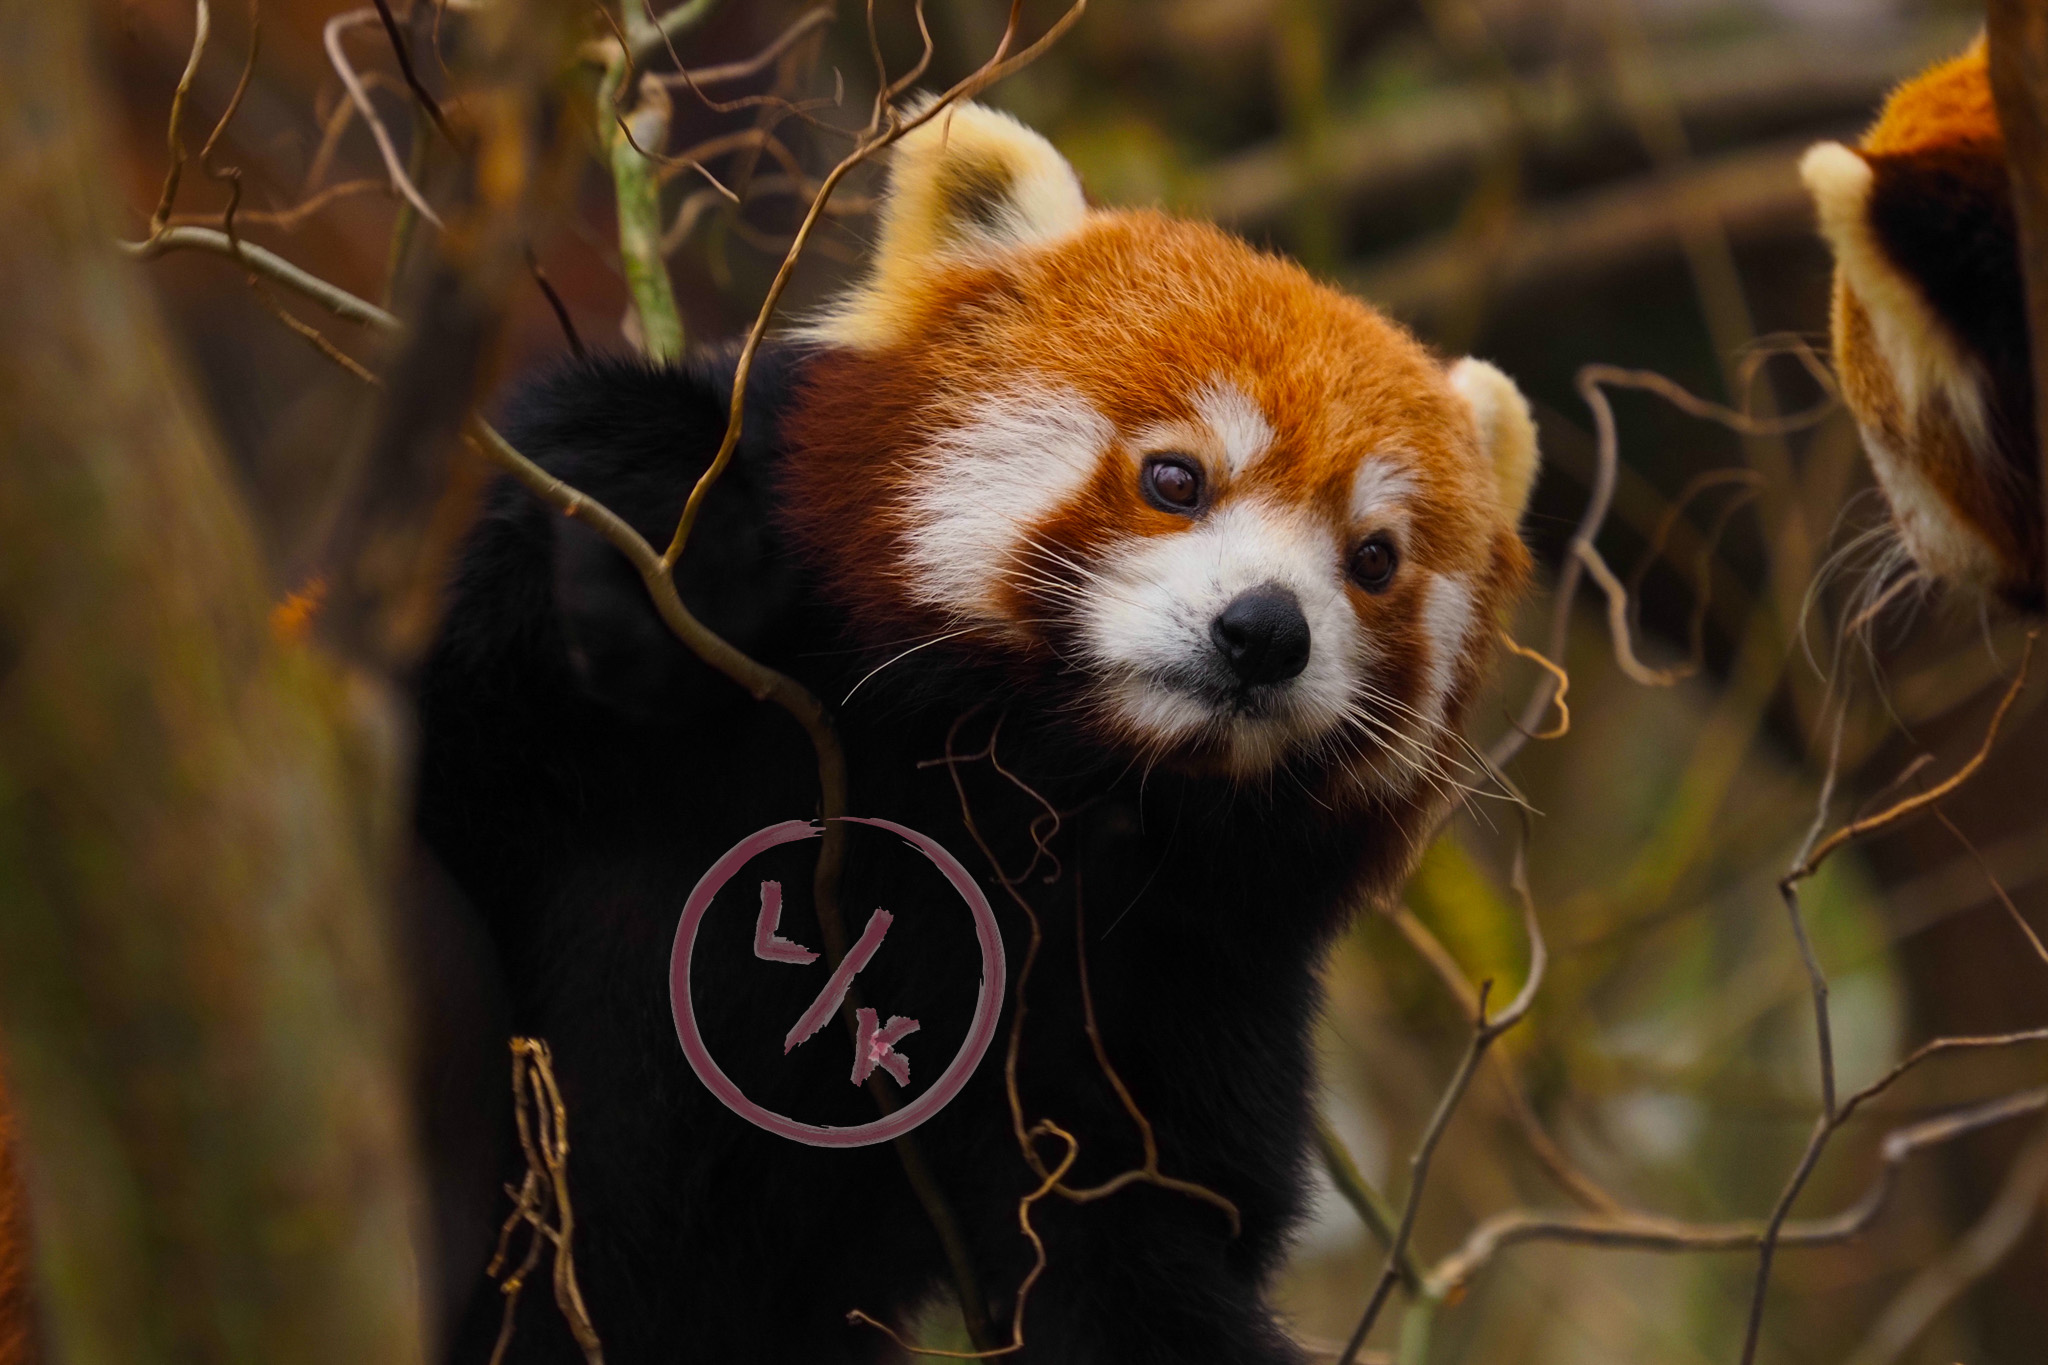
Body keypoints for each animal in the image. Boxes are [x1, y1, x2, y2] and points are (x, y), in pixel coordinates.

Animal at [420, 100, 1540, 1363]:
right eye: (1174, 477)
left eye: (1372, 560)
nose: (1264, 633)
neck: (1034, 778)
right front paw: (661, 539)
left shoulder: (1179, 987)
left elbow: (1124, 1247)